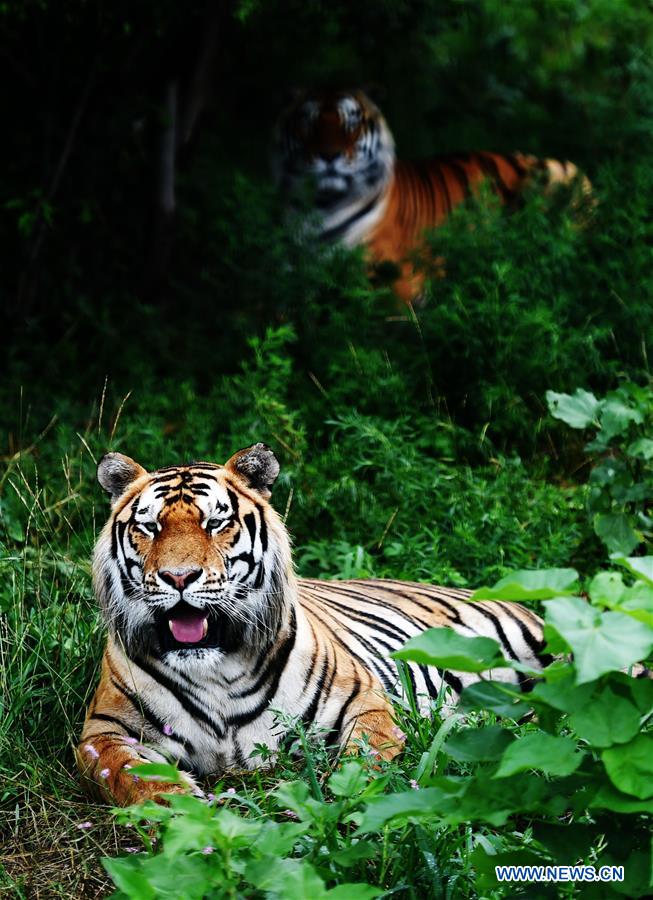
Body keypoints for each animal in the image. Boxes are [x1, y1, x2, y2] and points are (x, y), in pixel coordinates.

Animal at [79, 442, 548, 800]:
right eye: (149, 527)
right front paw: (177, 806)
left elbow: (366, 756)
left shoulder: (364, 698)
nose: (178, 577)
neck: (215, 669)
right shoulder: (104, 731)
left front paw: (344, 792)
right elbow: (124, 772)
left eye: (215, 522)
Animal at [272, 89, 588, 304]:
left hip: (565, 176)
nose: (329, 155)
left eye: (351, 125)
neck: (322, 206)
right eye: (308, 125)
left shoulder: (390, 276)